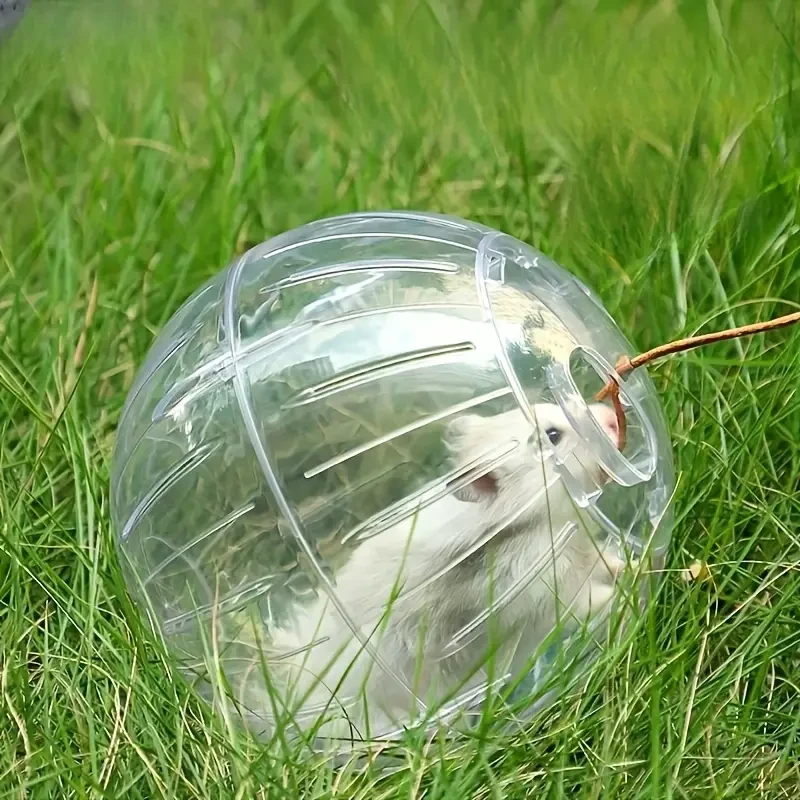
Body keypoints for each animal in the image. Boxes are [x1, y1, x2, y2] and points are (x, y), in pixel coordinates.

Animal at [269, 402, 626, 741]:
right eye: (553, 435)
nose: (612, 418)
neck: (532, 519)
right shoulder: (551, 594)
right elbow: (593, 599)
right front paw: (629, 588)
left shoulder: (582, 551)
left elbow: (603, 561)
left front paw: (628, 564)